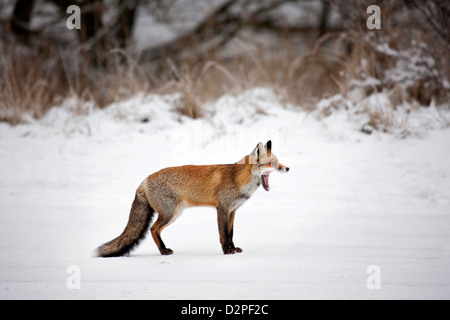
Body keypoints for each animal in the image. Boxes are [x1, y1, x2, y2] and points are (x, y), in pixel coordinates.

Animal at [96, 141, 290, 258]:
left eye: (278, 162)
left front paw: (233, 248)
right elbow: (223, 234)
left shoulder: (233, 211)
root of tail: (144, 180)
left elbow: (231, 233)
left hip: (174, 214)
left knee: (155, 230)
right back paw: (163, 250)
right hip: (169, 214)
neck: (238, 179)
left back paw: (163, 249)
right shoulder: (222, 209)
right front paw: (227, 251)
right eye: (271, 163)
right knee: (152, 229)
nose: (287, 168)